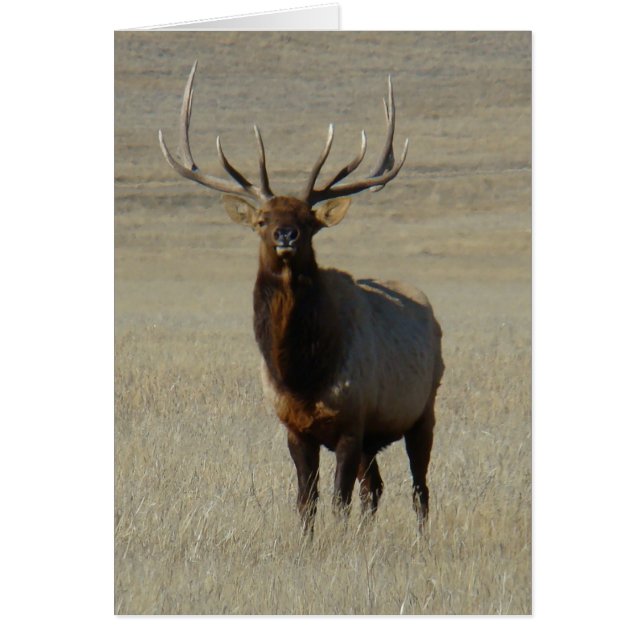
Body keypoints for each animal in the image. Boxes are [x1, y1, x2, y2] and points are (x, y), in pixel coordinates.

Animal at [159, 62, 444, 532]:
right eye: (261, 219)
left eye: (309, 221)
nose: (286, 235)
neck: (302, 373)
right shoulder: (295, 427)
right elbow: (305, 501)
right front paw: (309, 541)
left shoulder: (351, 422)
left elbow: (338, 502)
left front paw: (338, 542)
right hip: (376, 437)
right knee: (375, 488)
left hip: (424, 409)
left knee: (419, 489)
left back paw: (421, 537)